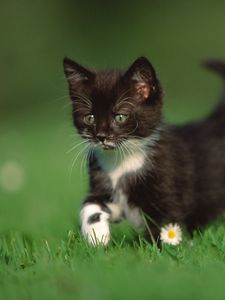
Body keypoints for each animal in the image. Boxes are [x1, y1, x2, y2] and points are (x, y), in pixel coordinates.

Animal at [62, 57, 225, 245]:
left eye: (120, 116)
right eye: (90, 117)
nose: (101, 136)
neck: (122, 159)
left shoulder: (167, 189)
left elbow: (165, 224)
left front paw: (160, 248)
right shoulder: (104, 186)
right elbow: (90, 204)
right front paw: (96, 236)